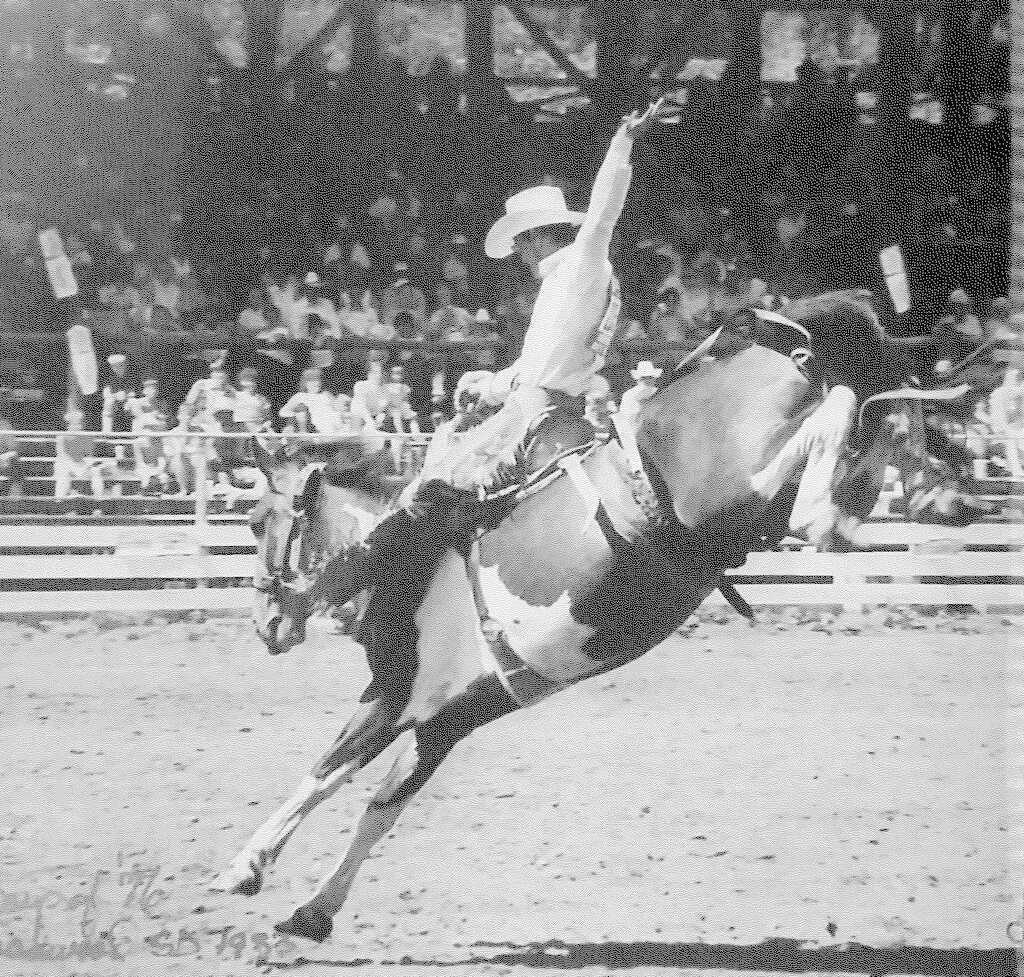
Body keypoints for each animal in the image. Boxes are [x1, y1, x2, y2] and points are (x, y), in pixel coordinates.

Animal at [211, 286, 987, 938]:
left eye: (257, 519)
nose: (265, 625)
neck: (403, 546)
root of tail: (776, 339)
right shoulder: (448, 719)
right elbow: (382, 809)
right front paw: (314, 912)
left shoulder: (397, 694)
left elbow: (324, 772)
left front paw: (242, 868)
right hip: (765, 501)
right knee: (859, 430)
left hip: (734, 483)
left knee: (830, 426)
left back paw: (842, 504)